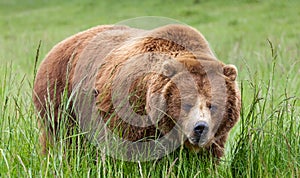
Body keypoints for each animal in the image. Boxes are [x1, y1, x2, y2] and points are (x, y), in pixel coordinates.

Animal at [32, 23, 241, 160]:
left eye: (213, 105)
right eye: (187, 104)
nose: (200, 127)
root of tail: (56, 47)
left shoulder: (215, 136)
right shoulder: (128, 110)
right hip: (60, 95)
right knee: (63, 139)